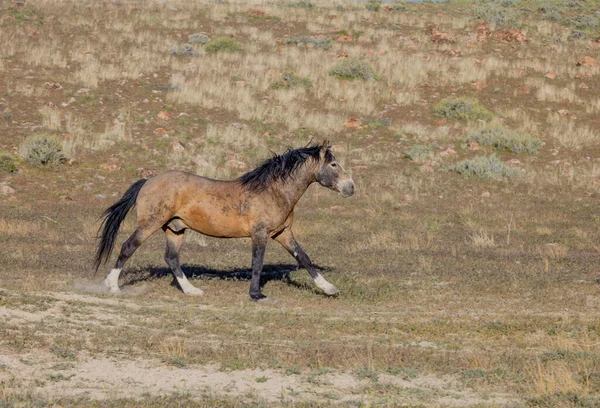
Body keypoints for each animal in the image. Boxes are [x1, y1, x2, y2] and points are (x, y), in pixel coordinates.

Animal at [94, 142, 356, 302]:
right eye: (334, 164)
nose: (351, 187)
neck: (273, 191)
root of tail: (148, 181)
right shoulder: (260, 234)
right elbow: (257, 263)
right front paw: (256, 294)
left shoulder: (283, 233)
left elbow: (304, 258)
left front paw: (329, 288)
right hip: (150, 224)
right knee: (127, 247)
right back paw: (112, 286)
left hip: (174, 229)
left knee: (172, 259)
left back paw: (192, 290)